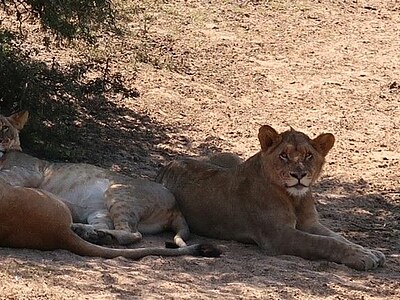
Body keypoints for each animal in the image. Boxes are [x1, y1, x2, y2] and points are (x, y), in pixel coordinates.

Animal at [0, 111, 200, 250]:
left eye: (4, 127)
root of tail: (177, 206)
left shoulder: (33, 172)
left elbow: (7, 175)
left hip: (118, 192)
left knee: (132, 234)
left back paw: (91, 233)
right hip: (99, 212)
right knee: (111, 227)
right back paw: (90, 233)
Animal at [155, 125, 384, 270]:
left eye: (308, 155)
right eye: (284, 155)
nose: (299, 175)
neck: (295, 199)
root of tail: (169, 164)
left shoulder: (310, 224)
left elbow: (338, 237)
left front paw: (371, 251)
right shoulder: (278, 235)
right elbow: (324, 243)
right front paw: (362, 257)